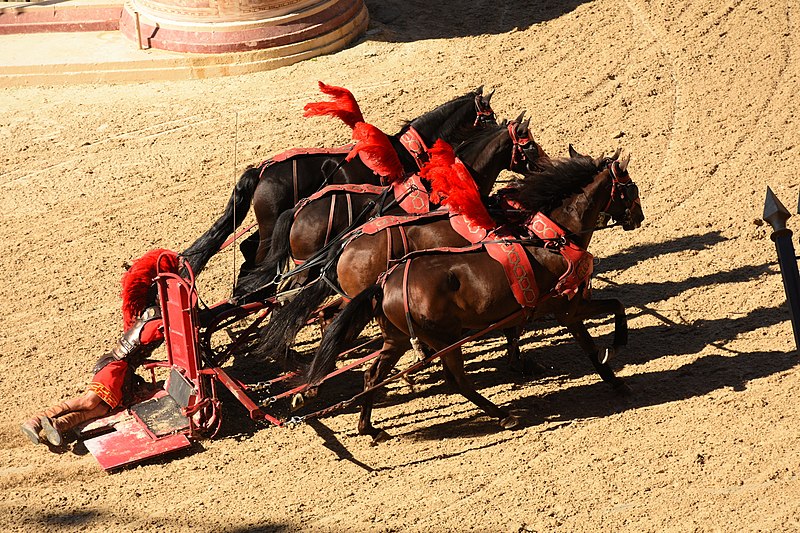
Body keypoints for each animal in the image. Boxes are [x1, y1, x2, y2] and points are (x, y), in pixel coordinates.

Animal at [304, 150, 644, 440]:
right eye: (630, 189)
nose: (638, 217)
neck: (551, 239)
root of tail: (385, 282)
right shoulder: (569, 309)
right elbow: (605, 325)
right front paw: (616, 364)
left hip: (397, 339)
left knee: (372, 376)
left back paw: (369, 427)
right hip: (445, 339)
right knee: (458, 381)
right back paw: (503, 415)